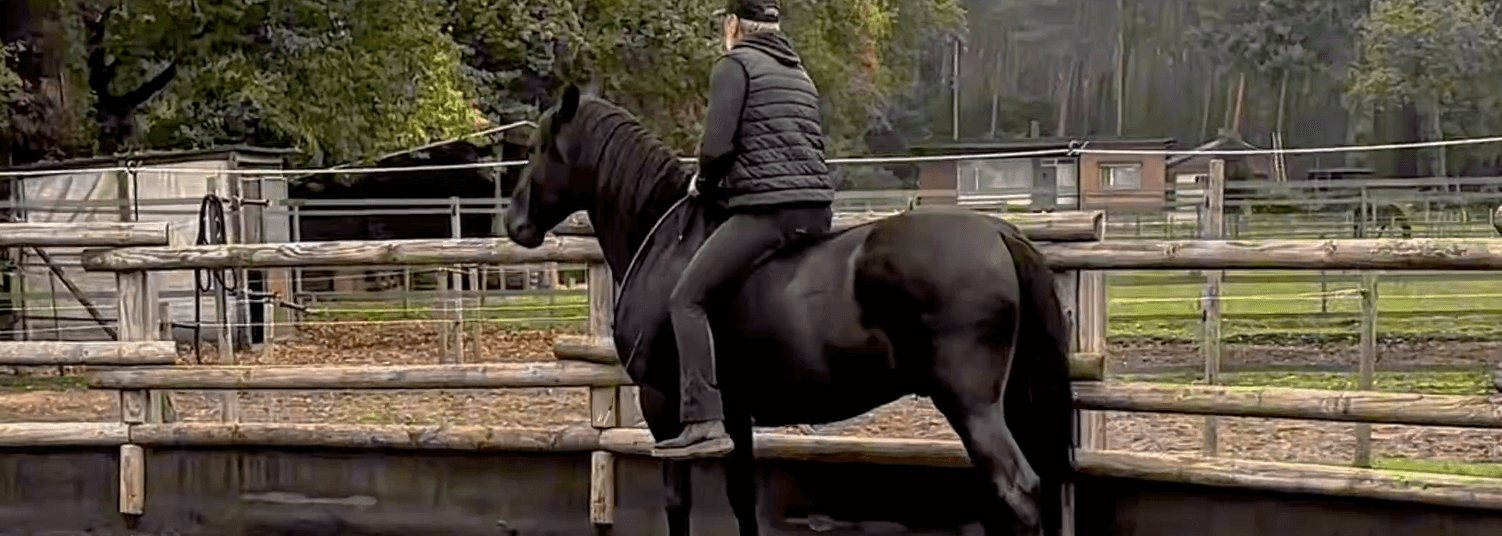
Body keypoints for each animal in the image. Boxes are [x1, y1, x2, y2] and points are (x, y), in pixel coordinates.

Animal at [503, 85, 1075, 536]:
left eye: (540, 148)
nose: (514, 222)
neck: (666, 240)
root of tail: (997, 232)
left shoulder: (662, 406)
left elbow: (677, 503)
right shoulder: (735, 414)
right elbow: (742, 499)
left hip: (972, 404)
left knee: (1019, 492)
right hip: (1009, 402)